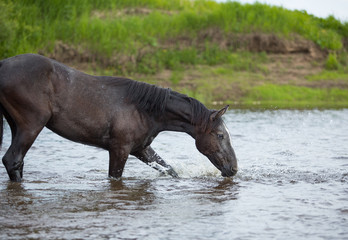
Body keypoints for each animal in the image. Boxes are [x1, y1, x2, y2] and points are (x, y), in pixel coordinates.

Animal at [0, 54, 237, 182]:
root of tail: (4, 65)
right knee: (12, 160)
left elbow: (170, 170)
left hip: (16, 126)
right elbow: (115, 178)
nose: (234, 169)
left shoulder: (141, 149)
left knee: (17, 163)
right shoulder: (119, 149)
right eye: (220, 135)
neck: (145, 110)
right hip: (31, 126)